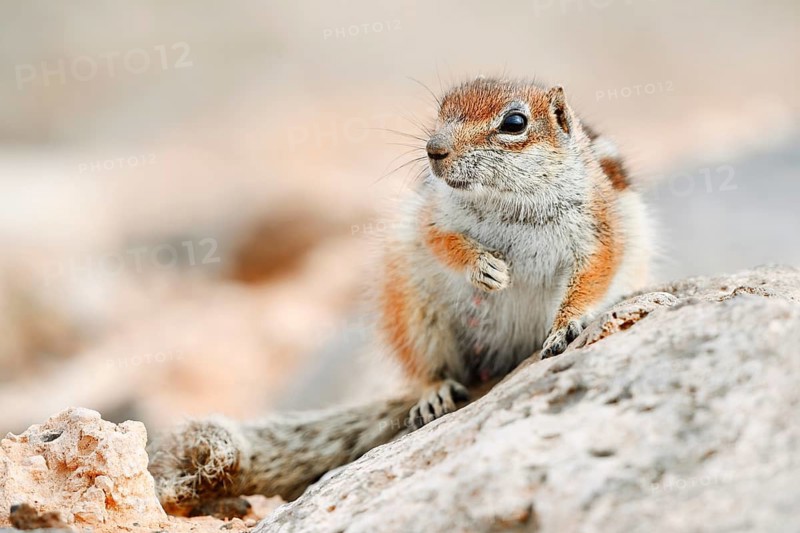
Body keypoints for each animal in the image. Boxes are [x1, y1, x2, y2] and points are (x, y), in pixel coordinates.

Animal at [148, 77, 653, 517]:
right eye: (443, 109)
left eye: (514, 123)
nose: (434, 150)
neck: (508, 204)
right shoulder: (429, 216)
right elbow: (442, 241)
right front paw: (483, 267)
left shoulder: (598, 228)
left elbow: (594, 271)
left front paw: (567, 324)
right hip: (415, 312)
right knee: (429, 368)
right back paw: (433, 394)